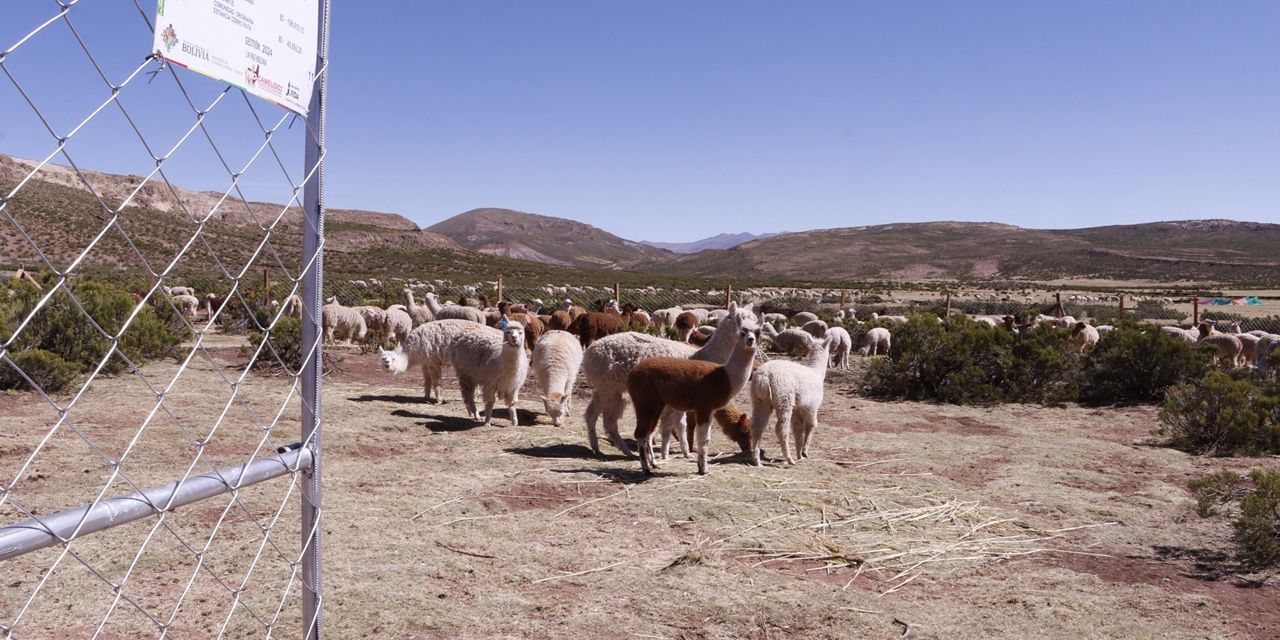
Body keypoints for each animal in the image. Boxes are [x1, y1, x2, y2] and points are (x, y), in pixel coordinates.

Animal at [747, 330, 834, 465]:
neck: (816, 373)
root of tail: (764, 375)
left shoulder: (798, 408)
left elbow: (798, 429)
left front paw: (800, 454)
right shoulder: (811, 406)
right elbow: (811, 425)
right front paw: (804, 452)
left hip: (759, 400)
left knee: (757, 426)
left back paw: (757, 461)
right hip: (784, 398)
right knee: (781, 429)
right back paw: (789, 459)